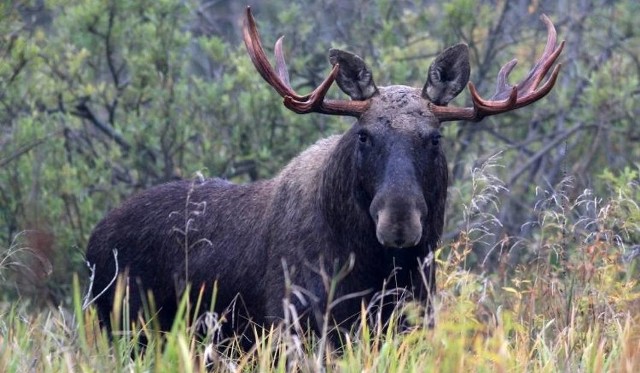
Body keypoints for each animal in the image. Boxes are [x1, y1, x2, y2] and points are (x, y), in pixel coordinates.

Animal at [86, 6, 564, 346]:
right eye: (364, 135)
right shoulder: (294, 326)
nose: (399, 221)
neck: (375, 271)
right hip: (124, 329)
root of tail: (92, 242)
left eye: (434, 138)